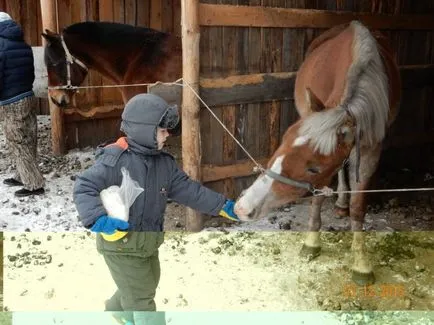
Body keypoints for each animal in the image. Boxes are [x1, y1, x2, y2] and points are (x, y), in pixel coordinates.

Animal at [234, 20, 400, 284]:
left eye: (313, 168)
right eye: (283, 141)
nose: (242, 207)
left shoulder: (370, 151)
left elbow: (358, 207)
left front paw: (361, 263)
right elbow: (318, 196)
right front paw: (312, 242)